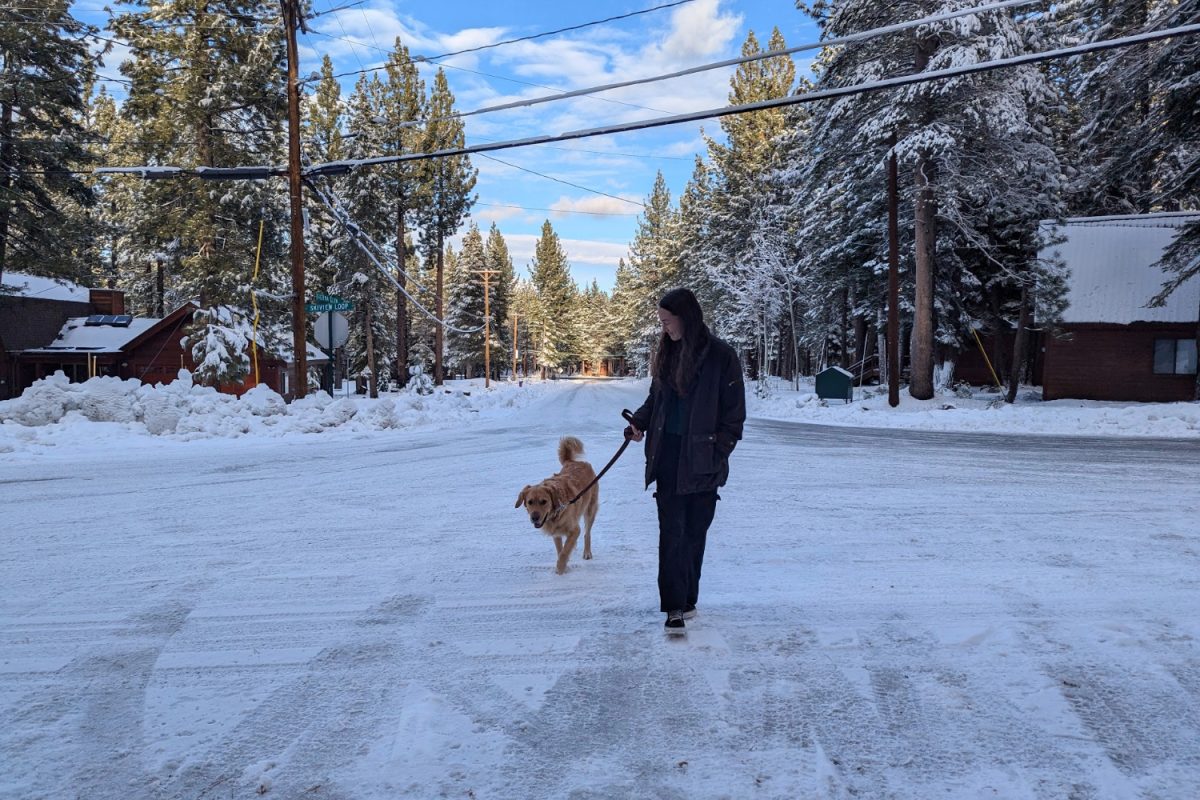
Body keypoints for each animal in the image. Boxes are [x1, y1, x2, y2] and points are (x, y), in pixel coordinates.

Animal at [516, 438, 600, 575]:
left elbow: (564, 552)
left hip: (590, 510)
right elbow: (560, 550)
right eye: (530, 502)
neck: (557, 511)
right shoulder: (556, 534)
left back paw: (587, 553)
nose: (534, 518)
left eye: (544, 501)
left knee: (587, 533)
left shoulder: (574, 529)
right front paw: (564, 565)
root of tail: (574, 461)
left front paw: (560, 571)